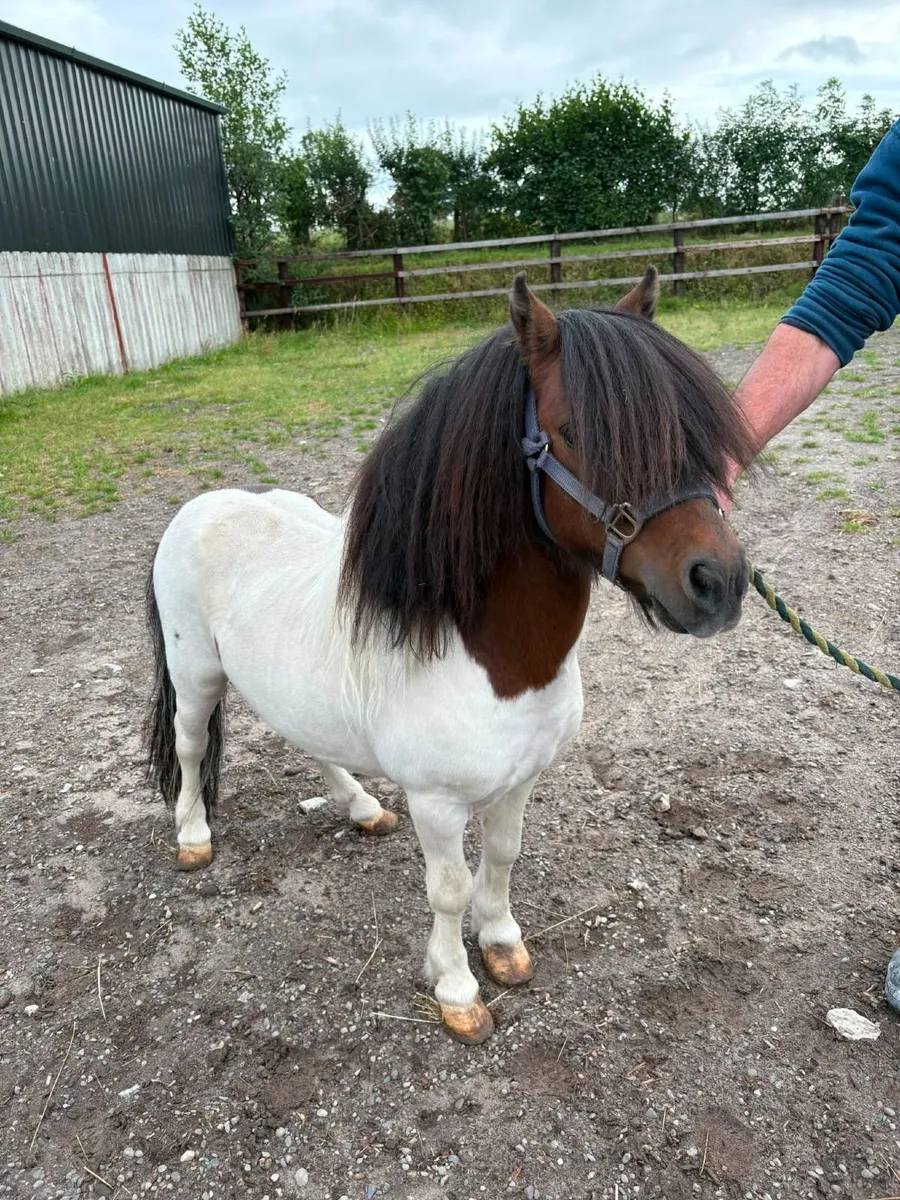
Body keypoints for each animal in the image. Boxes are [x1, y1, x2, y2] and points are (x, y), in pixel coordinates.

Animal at [145, 268, 753, 1044]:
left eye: (691, 426)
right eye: (575, 432)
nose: (719, 583)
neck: (491, 659)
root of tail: (198, 506)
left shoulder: (522, 780)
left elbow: (502, 856)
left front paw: (502, 943)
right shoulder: (436, 803)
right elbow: (451, 886)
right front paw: (457, 988)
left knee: (305, 740)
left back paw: (361, 808)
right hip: (196, 677)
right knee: (191, 749)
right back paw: (193, 836)